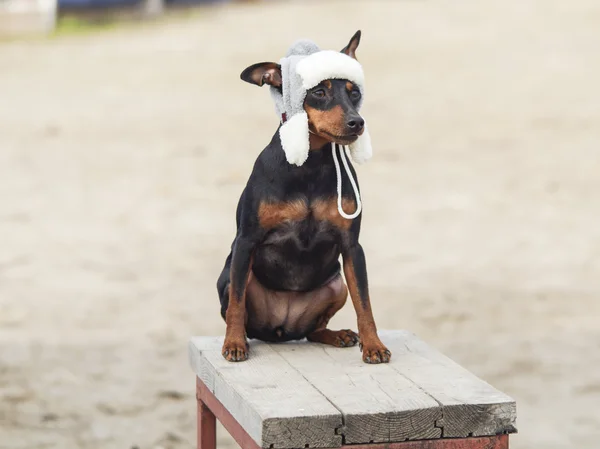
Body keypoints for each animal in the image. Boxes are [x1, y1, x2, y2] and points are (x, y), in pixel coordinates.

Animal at [214, 29, 390, 364]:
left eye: (354, 93)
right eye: (319, 92)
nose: (357, 123)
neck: (312, 164)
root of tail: (283, 329)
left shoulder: (352, 247)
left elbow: (365, 303)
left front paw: (374, 345)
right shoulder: (246, 242)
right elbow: (237, 305)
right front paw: (233, 344)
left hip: (336, 285)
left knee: (313, 330)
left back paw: (337, 335)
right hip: (230, 275)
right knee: (239, 310)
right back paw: (242, 338)